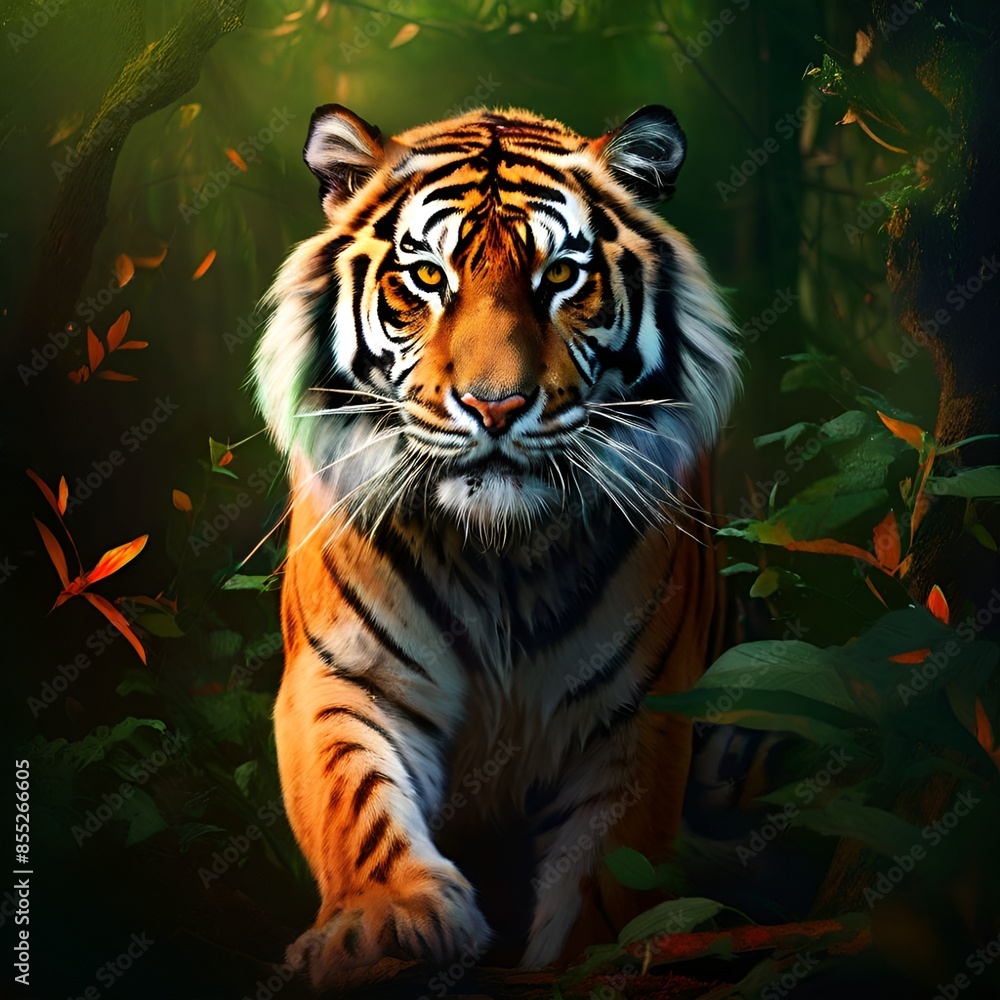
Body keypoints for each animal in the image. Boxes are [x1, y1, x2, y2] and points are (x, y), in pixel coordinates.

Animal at [252, 101, 740, 990]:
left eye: (563, 277)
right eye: (426, 278)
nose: (496, 404)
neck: (498, 553)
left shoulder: (640, 710)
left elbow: (610, 867)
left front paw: (594, 963)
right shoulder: (344, 673)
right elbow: (352, 797)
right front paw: (384, 923)